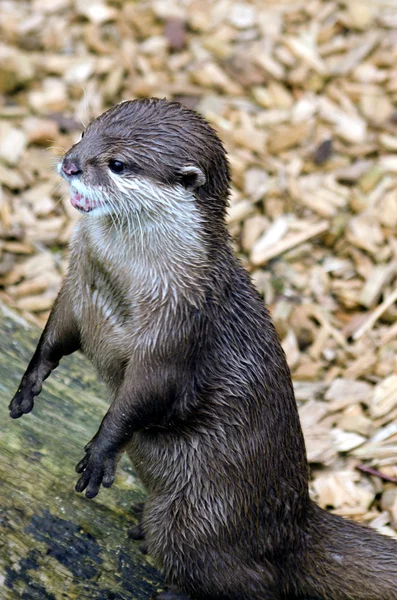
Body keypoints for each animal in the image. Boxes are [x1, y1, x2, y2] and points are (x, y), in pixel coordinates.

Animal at [7, 99, 396, 600]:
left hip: (196, 518)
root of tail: (294, 529)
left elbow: (144, 396)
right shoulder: (77, 288)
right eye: (82, 135)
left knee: (254, 583)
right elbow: (55, 336)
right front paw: (27, 387)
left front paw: (100, 453)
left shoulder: (179, 325)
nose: (70, 164)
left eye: (117, 164)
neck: (121, 277)